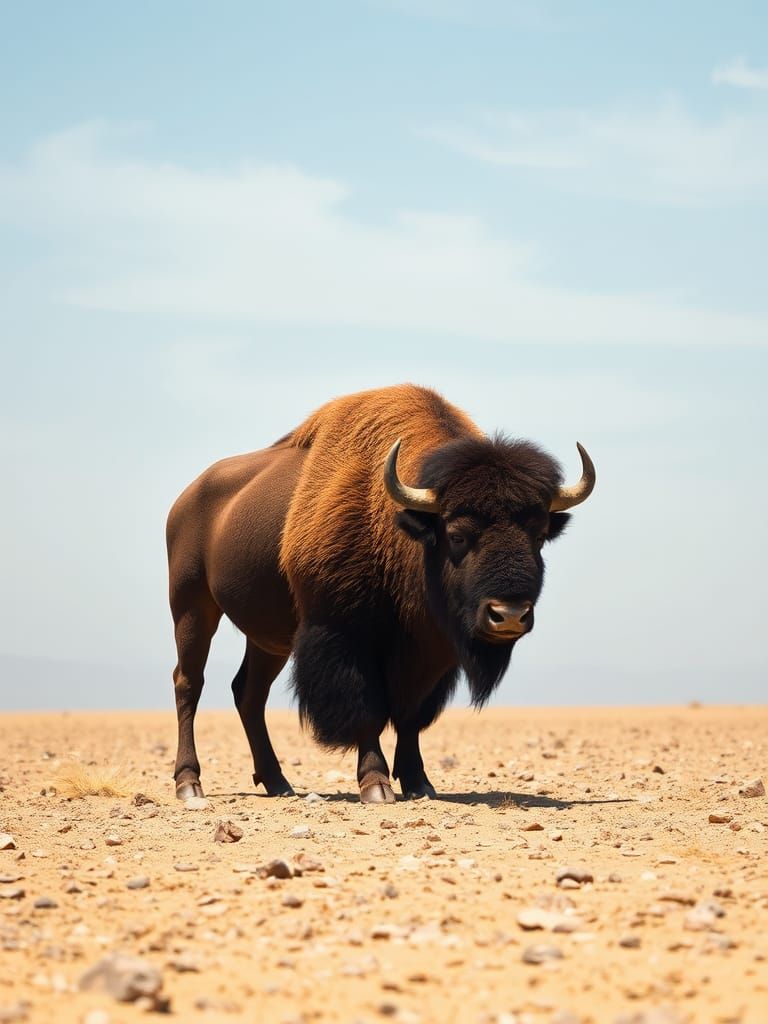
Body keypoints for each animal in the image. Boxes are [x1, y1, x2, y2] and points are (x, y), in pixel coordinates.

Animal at [166, 384, 595, 803]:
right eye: (457, 535)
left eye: (539, 536)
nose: (508, 615)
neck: (400, 527)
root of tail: (185, 500)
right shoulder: (345, 635)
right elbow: (367, 709)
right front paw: (376, 785)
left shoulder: (432, 651)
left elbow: (411, 716)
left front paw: (419, 783)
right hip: (191, 608)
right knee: (189, 682)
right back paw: (189, 784)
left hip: (268, 640)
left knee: (249, 694)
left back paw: (278, 783)